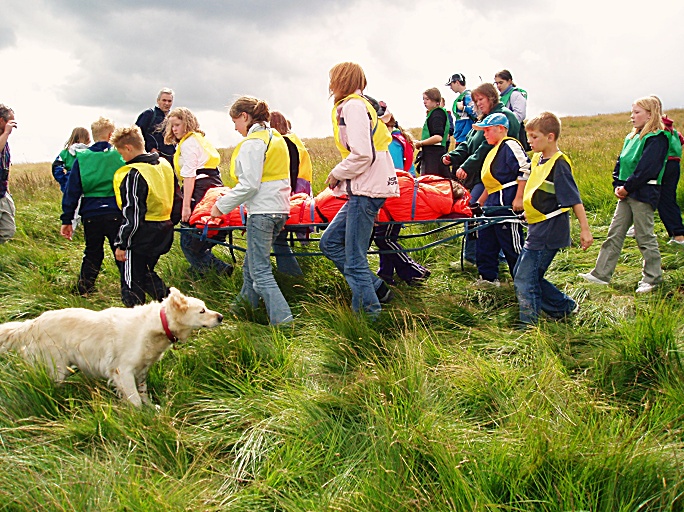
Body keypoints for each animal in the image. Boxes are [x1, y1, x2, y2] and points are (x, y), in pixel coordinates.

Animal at [0, 288, 223, 404]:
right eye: (202, 311)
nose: (221, 317)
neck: (159, 325)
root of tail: (32, 324)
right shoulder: (122, 371)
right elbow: (134, 399)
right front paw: (142, 419)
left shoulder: (141, 370)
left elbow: (143, 394)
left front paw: (151, 409)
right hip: (57, 368)